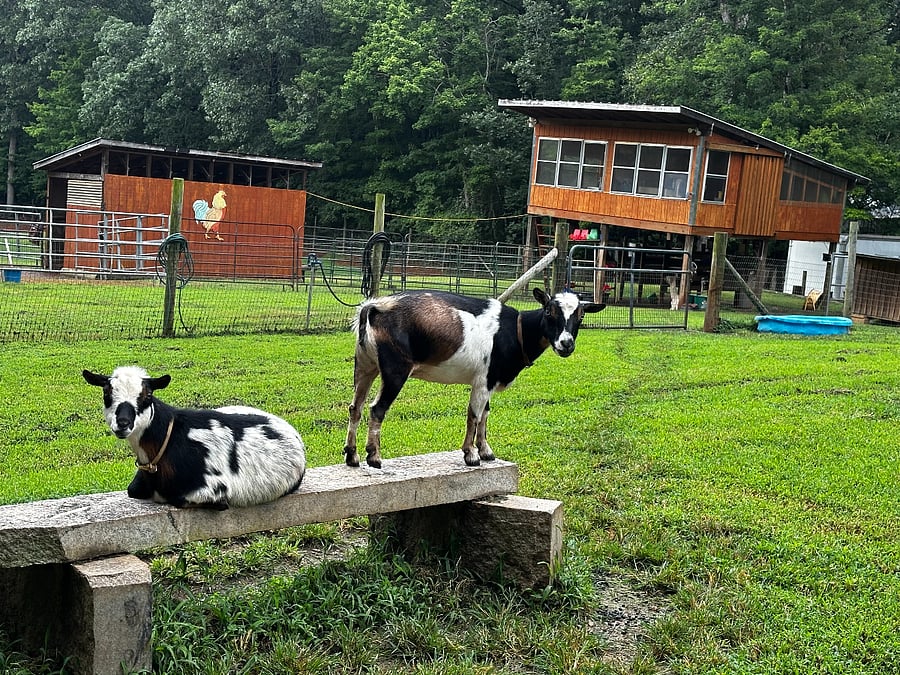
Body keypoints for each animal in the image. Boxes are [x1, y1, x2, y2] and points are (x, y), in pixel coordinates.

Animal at [83, 366, 306, 509]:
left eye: (147, 396)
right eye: (106, 393)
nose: (123, 423)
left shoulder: (212, 488)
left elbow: (181, 499)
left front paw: (220, 505)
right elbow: (133, 489)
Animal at [344, 287, 604, 468]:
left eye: (581, 315)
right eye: (550, 311)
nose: (566, 344)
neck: (516, 330)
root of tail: (374, 308)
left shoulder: (489, 380)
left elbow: (485, 415)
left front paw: (486, 451)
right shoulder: (483, 380)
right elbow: (474, 416)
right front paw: (471, 455)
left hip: (365, 365)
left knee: (355, 407)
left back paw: (352, 456)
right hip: (395, 369)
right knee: (377, 408)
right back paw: (374, 457)